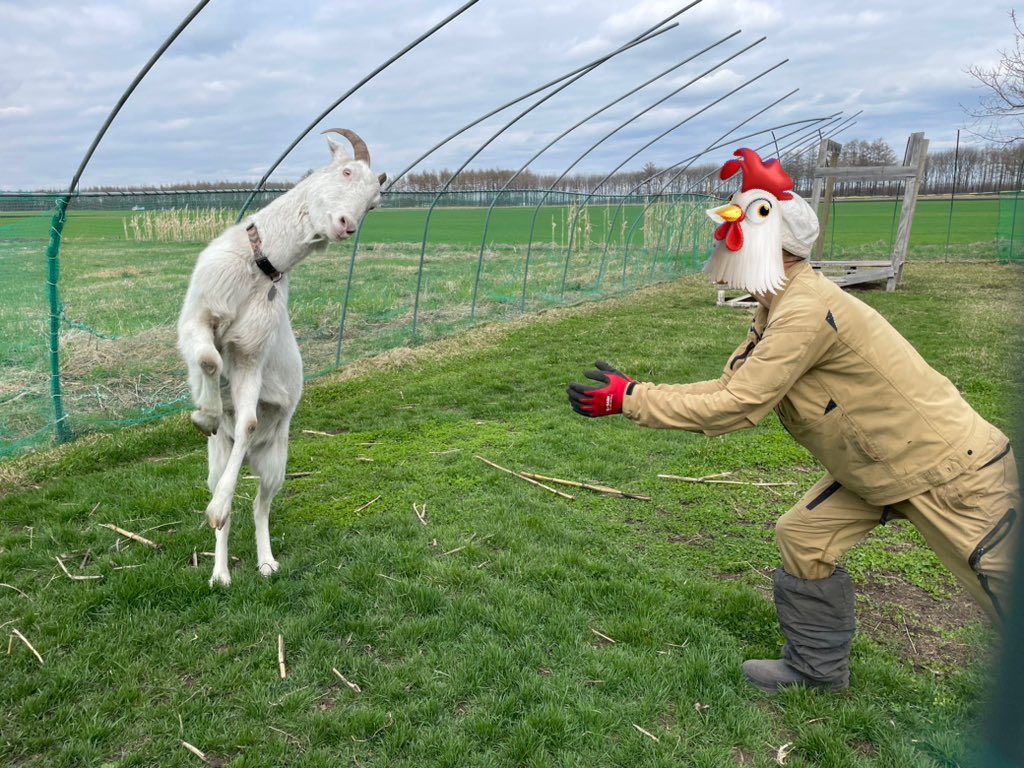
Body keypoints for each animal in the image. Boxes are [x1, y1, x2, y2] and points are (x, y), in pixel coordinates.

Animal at [176, 128, 386, 587]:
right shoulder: (199, 316)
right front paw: (206, 414)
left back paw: (265, 560)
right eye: (346, 172)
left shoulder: (251, 353)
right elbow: (209, 360)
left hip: (276, 459)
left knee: (257, 504)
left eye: (373, 202)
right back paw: (220, 574)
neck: (258, 267)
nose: (347, 226)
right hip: (217, 457)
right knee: (228, 506)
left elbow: (249, 418)